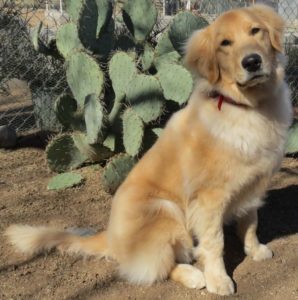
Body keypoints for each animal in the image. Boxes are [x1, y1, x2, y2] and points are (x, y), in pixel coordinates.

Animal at [4, 4, 294, 296]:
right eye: (225, 43)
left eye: (255, 31)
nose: (252, 62)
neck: (248, 107)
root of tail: (110, 237)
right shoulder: (208, 197)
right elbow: (215, 243)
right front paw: (218, 279)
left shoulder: (254, 183)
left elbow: (250, 222)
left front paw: (254, 250)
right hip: (165, 209)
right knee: (160, 265)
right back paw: (194, 275)